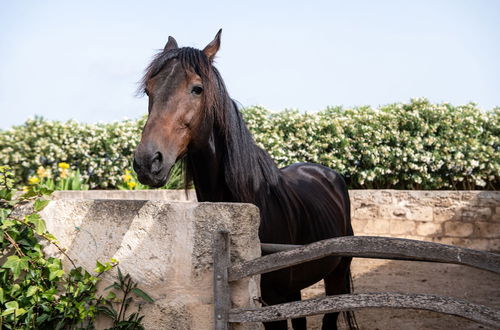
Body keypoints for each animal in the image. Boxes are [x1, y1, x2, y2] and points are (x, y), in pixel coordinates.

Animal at [134, 29, 356, 328]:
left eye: (197, 88)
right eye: (149, 89)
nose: (148, 161)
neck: (253, 199)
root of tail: (327, 174)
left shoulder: (273, 305)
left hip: (335, 279)